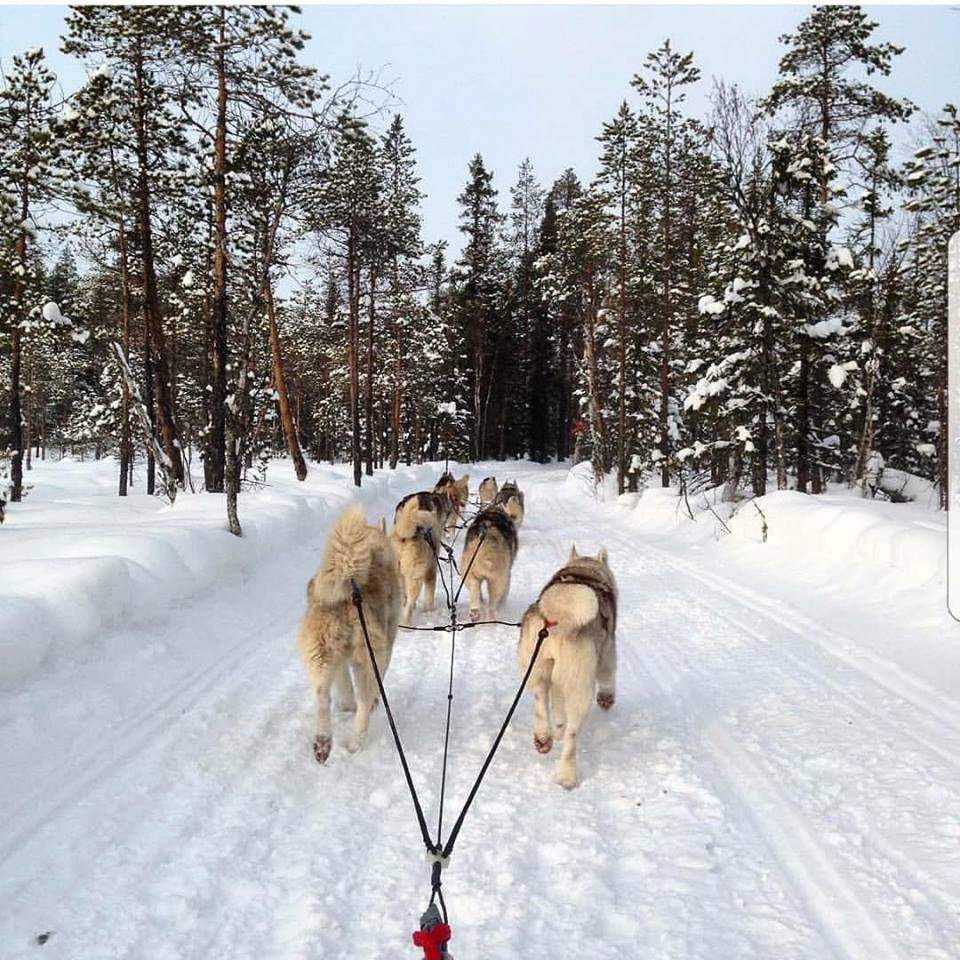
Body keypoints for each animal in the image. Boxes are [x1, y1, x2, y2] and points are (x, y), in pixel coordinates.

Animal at [296, 502, 402, 764]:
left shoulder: (341, 661)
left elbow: (342, 685)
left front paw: (345, 704)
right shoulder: (386, 648)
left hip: (320, 655)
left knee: (322, 694)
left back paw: (323, 742)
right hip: (369, 660)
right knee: (363, 704)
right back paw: (355, 743)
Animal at [392, 496, 444, 624]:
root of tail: (403, 536)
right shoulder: (431, 571)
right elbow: (429, 595)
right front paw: (429, 610)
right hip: (415, 578)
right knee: (410, 603)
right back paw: (406, 623)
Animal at [520, 544, 620, 792]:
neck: (585, 571)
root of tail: (558, 619)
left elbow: (556, 709)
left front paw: (556, 729)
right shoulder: (608, 652)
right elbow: (608, 676)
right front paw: (607, 698)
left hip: (537, 668)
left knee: (540, 701)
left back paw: (543, 737)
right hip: (580, 688)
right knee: (572, 737)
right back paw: (567, 775)